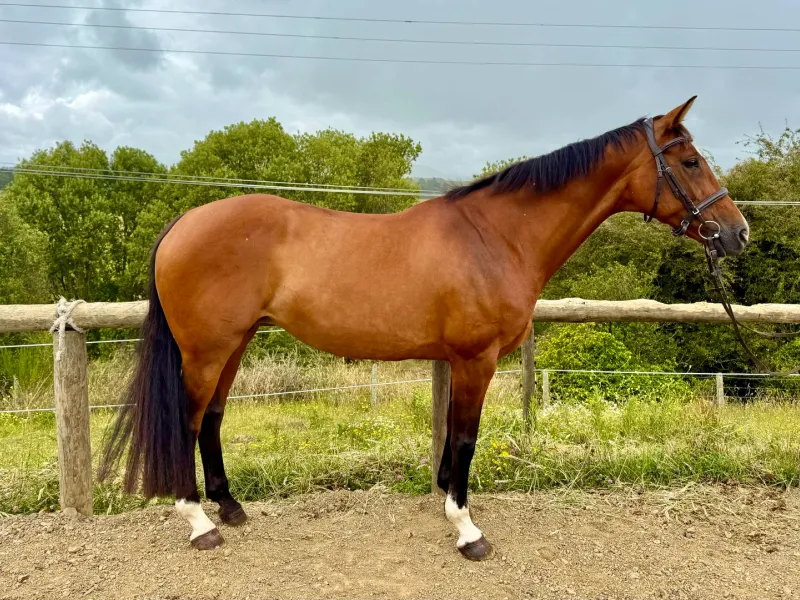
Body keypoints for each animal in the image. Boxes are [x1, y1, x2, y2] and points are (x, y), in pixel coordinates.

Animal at [99, 97, 749, 561]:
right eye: (690, 161)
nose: (737, 232)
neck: (496, 236)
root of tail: (182, 222)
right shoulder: (475, 359)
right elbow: (464, 437)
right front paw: (467, 531)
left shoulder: (460, 361)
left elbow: (452, 442)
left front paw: (446, 501)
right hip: (207, 351)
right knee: (187, 421)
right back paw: (200, 524)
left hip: (233, 345)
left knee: (211, 419)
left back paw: (231, 508)